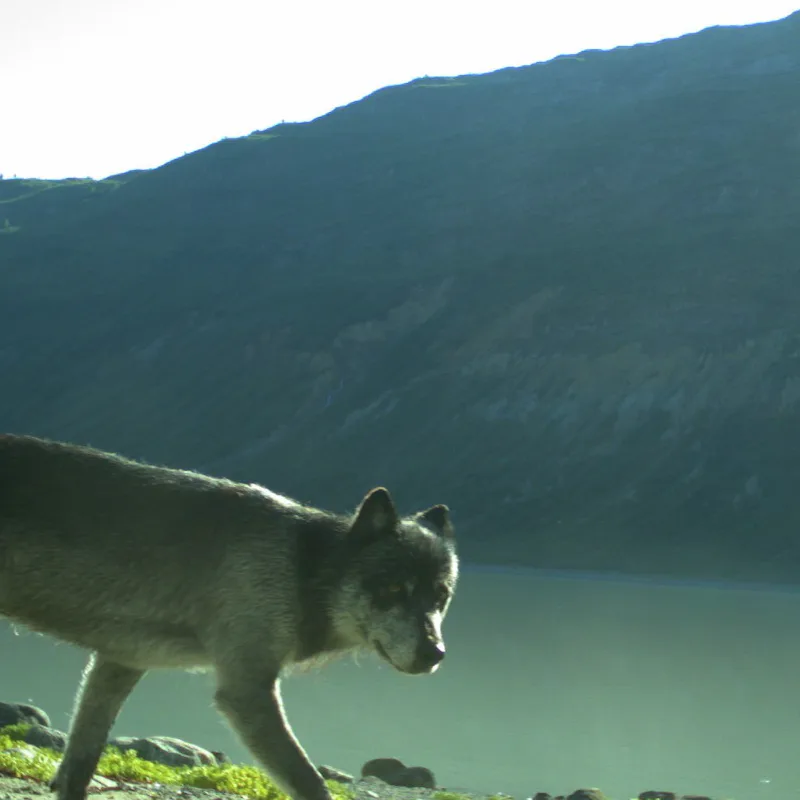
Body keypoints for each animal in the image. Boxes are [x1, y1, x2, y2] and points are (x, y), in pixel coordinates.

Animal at [0, 434, 459, 800]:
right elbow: (310, 781)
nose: (435, 654)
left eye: (441, 597)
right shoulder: (246, 691)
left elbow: (79, 764)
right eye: (395, 589)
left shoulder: (119, 662)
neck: (302, 569)